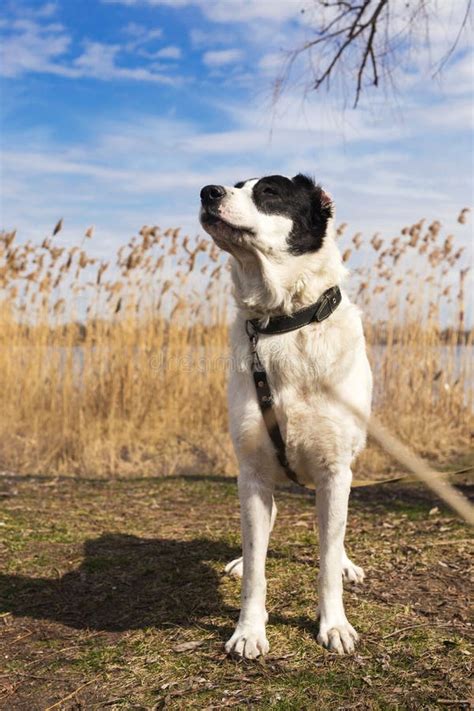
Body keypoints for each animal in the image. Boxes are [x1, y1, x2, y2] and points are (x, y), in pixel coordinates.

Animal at [198, 175, 372, 660]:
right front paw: (249, 631)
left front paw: (335, 626)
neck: (285, 321)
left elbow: (327, 561)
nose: (208, 191)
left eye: (270, 192)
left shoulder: (335, 472)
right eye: (235, 184)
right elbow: (258, 568)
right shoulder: (254, 473)